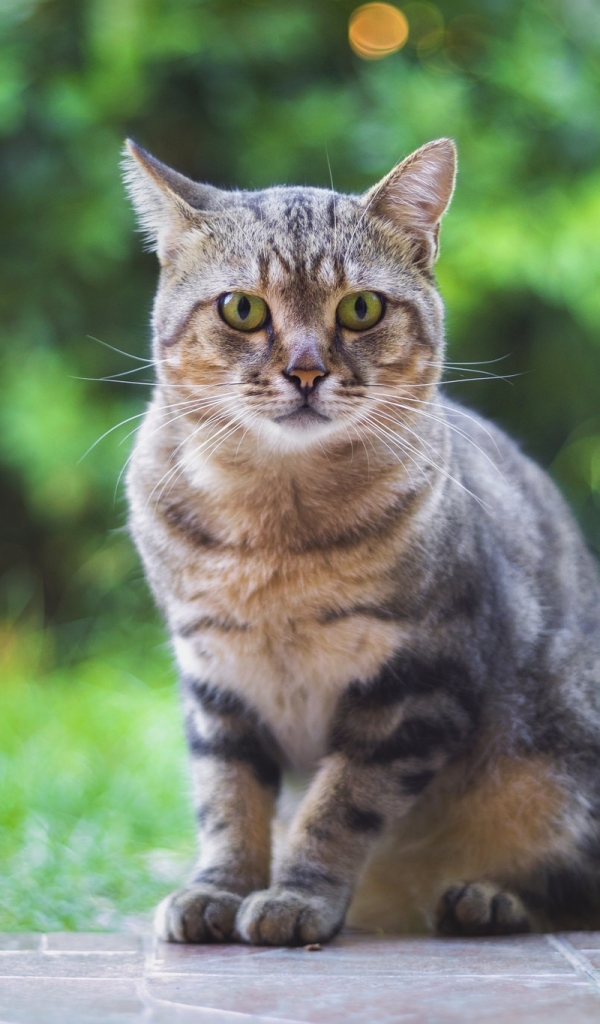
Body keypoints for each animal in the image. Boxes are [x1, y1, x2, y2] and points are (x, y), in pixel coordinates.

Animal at [121, 136, 597, 942]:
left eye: (361, 307)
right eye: (242, 309)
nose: (306, 370)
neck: (275, 533)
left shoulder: (414, 683)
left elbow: (338, 806)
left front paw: (295, 899)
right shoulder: (215, 681)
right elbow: (228, 799)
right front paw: (217, 889)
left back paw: (490, 899)